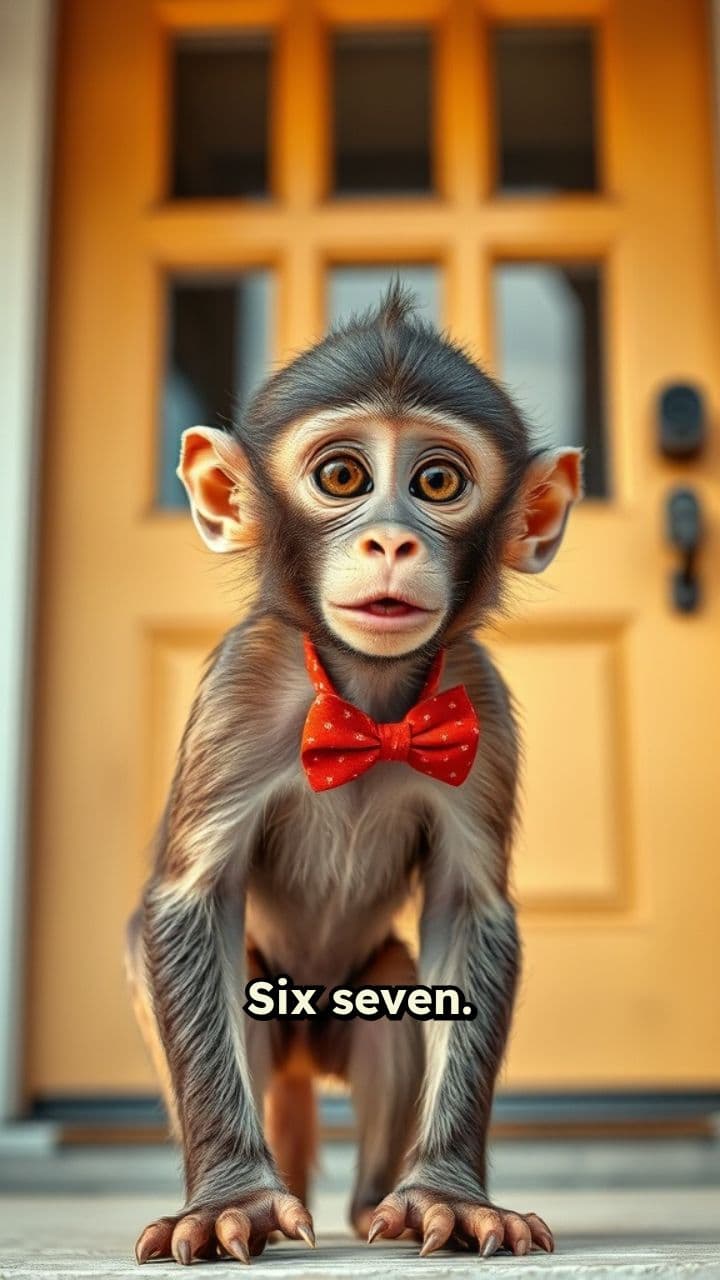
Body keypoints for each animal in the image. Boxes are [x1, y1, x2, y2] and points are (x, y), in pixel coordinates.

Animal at [127, 285, 581, 1265]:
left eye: (438, 483)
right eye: (342, 478)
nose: (390, 544)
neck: (370, 707)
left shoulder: (478, 703)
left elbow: (467, 910)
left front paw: (448, 1196)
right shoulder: (244, 683)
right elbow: (192, 900)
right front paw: (230, 1200)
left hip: (352, 1000)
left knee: (393, 999)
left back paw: (381, 1204)